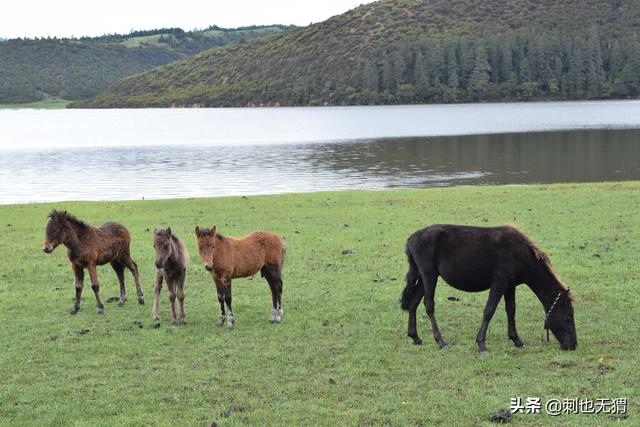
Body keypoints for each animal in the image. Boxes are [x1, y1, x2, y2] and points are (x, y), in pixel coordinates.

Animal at [400, 226, 576, 352]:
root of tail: (411, 239)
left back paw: (415, 337)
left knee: (413, 302)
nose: (573, 345)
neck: (520, 254)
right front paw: (481, 344)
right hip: (429, 276)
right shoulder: (499, 282)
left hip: (425, 278)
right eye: (568, 316)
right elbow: (489, 310)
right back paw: (441, 342)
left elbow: (511, 310)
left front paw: (516, 340)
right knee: (429, 305)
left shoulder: (510, 285)